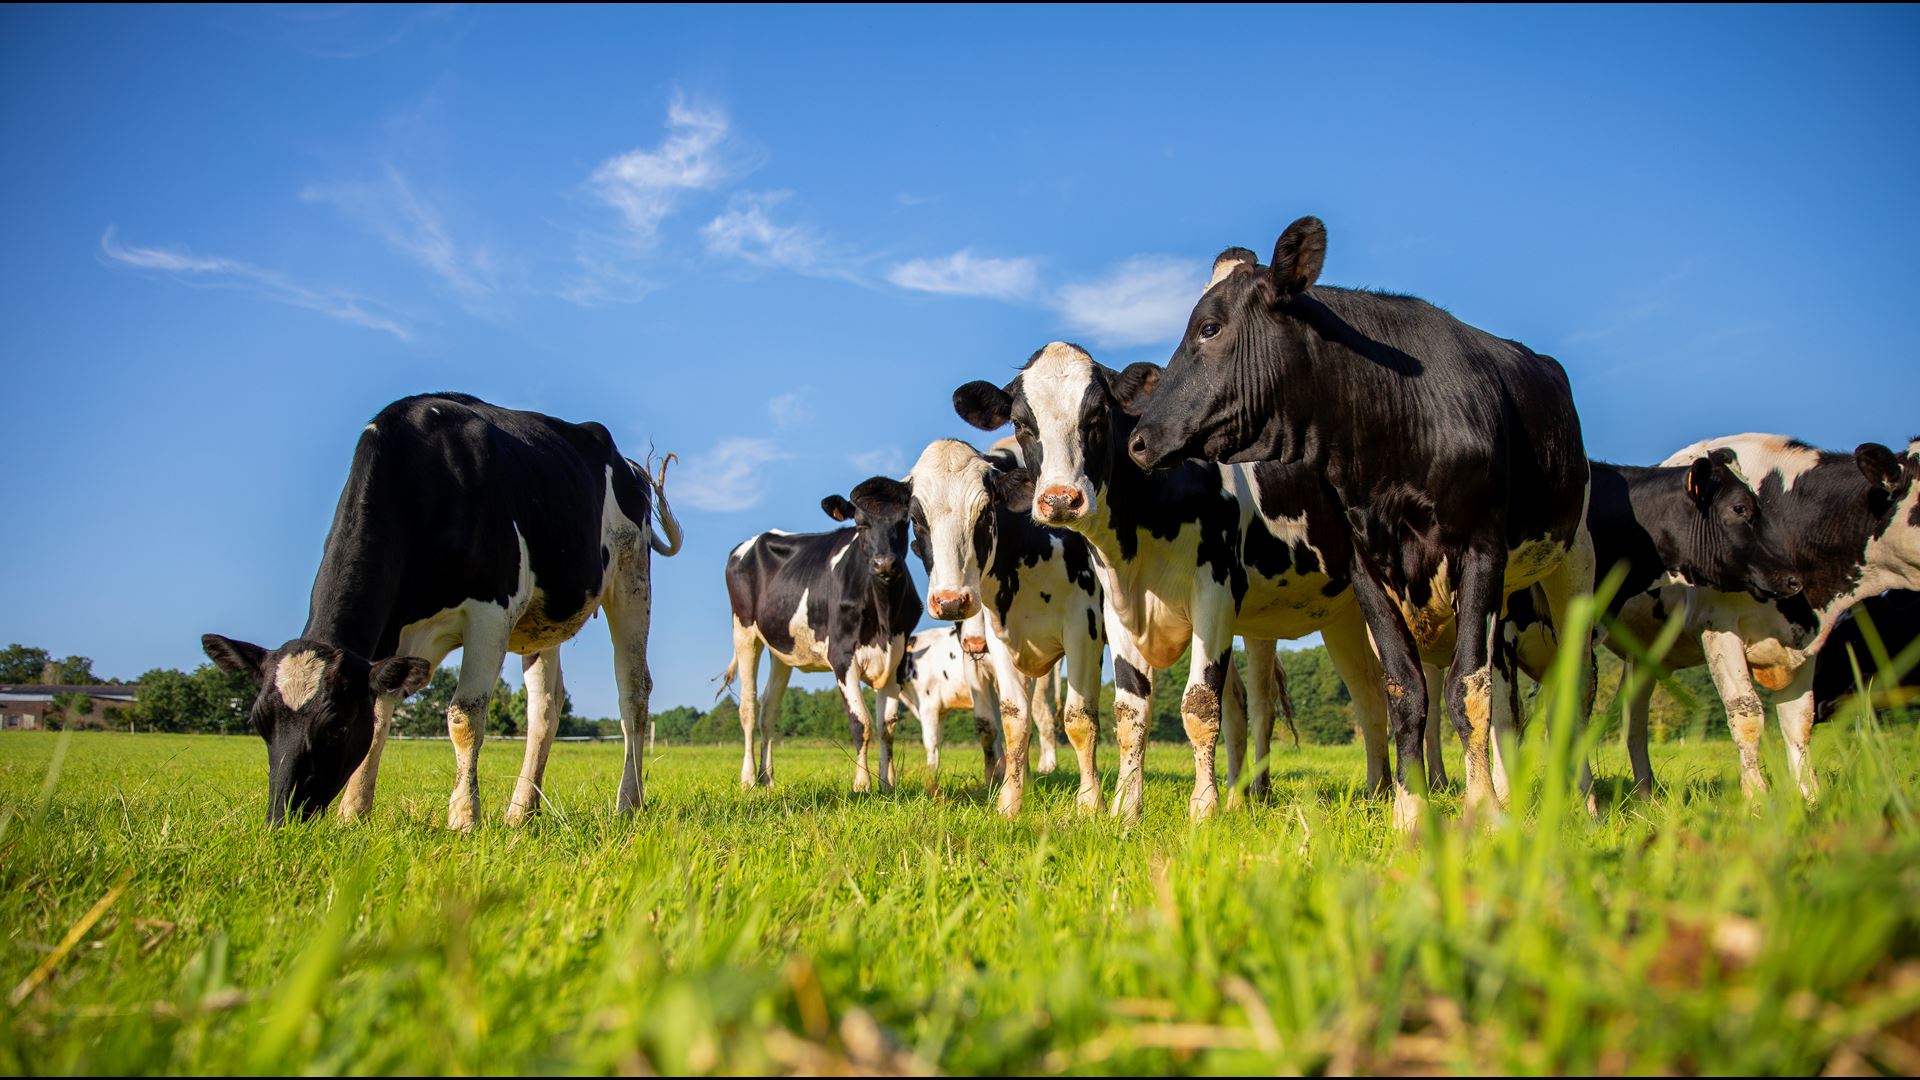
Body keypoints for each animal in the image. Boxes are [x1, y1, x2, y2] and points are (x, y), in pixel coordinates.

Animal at [201, 392, 682, 828]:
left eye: (335, 725)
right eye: (259, 722)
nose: (280, 821)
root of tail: (625, 464)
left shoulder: (490, 612)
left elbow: (464, 715)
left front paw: (465, 817)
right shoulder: (395, 633)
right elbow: (380, 715)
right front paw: (354, 812)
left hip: (631, 579)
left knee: (633, 692)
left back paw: (628, 802)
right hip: (541, 621)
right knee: (545, 706)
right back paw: (520, 812)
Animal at [722, 477, 921, 792]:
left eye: (904, 521)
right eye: (861, 524)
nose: (885, 564)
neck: (884, 617)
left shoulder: (896, 660)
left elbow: (886, 726)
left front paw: (887, 785)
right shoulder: (841, 656)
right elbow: (861, 723)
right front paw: (862, 785)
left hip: (782, 650)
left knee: (769, 711)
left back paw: (768, 779)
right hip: (744, 631)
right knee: (749, 709)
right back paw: (749, 778)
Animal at [954, 343, 1399, 821]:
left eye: (1097, 414)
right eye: (1022, 424)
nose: (1059, 500)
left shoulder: (1215, 594)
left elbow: (1200, 705)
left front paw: (1204, 807)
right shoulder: (1117, 608)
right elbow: (1130, 711)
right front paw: (1126, 807)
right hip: (1340, 614)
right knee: (1366, 695)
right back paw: (1376, 791)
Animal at [1123, 220, 1597, 828]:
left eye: (1209, 327)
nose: (1140, 439)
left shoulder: (1482, 548)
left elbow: (1468, 686)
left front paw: (1483, 811)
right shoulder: (1365, 566)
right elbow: (1405, 689)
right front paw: (1410, 811)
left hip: (1572, 560)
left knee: (1576, 684)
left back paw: (1583, 799)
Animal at [1608, 435, 1920, 798]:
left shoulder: (1803, 640)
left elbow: (1799, 722)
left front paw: (1808, 797)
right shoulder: (1716, 626)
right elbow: (1746, 713)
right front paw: (1756, 798)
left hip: (1646, 651)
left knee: (1633, 715)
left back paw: (1646, 797)